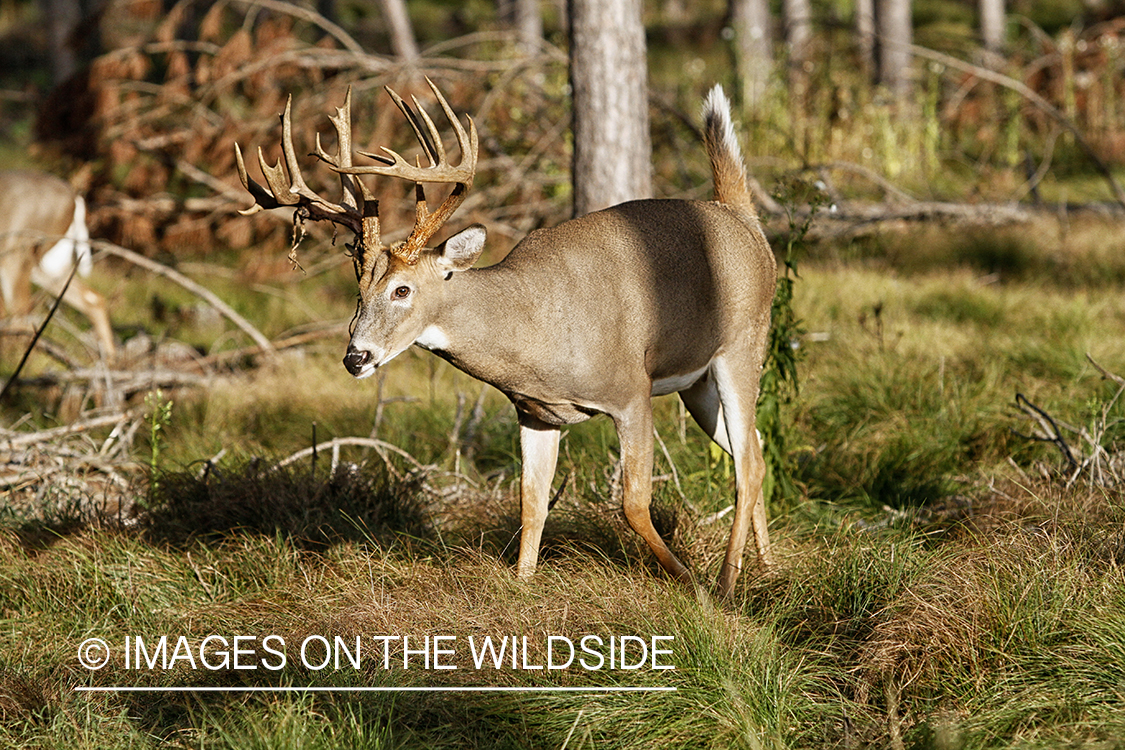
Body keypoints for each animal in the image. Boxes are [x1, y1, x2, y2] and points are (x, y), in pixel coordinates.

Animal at [0, 172, 115, 359]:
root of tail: (75, 198)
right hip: (47, 261)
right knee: (92, 298)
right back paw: (112, 360)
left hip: (17, 249)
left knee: (22, 310)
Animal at [232, 82, 778, 593]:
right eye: (358, 292)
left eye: (402, 289)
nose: (355, 357)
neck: (533, 333)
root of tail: (743, 217)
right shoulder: (535, 413)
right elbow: (531, 503)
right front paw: (521, 586)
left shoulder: (630, 391)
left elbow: (634, 504)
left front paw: (692, 587)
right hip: (696, 383)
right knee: (754, 449)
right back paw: (767, 569)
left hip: (742, 343)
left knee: (748, 463)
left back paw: (726, 585)